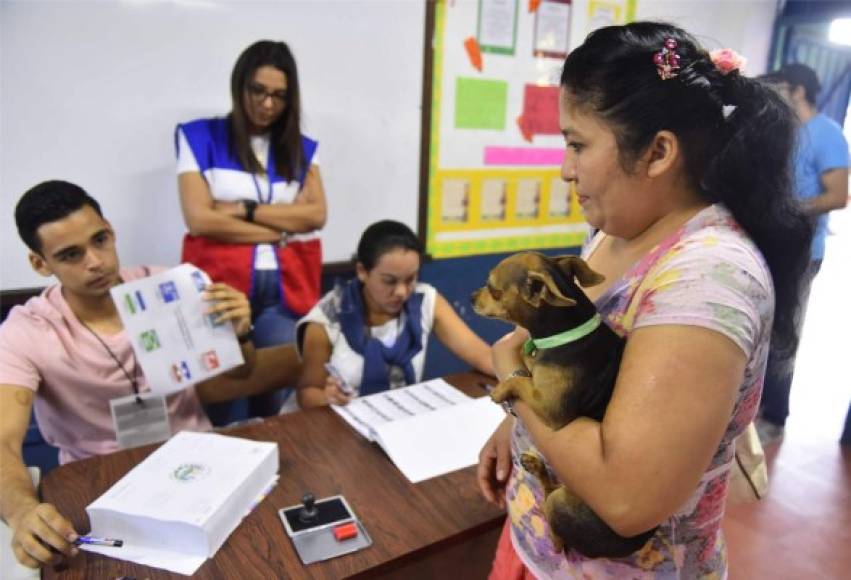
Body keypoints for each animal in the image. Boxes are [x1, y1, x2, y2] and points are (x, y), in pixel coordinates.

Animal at [470, 253, 656, 556]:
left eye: (493, 288)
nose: (471, 296)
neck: (565, 333)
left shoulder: (549, 406)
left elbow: (520, 381)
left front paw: (500, 389)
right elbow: (527, 369)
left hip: (561, 504)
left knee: (555, 527)